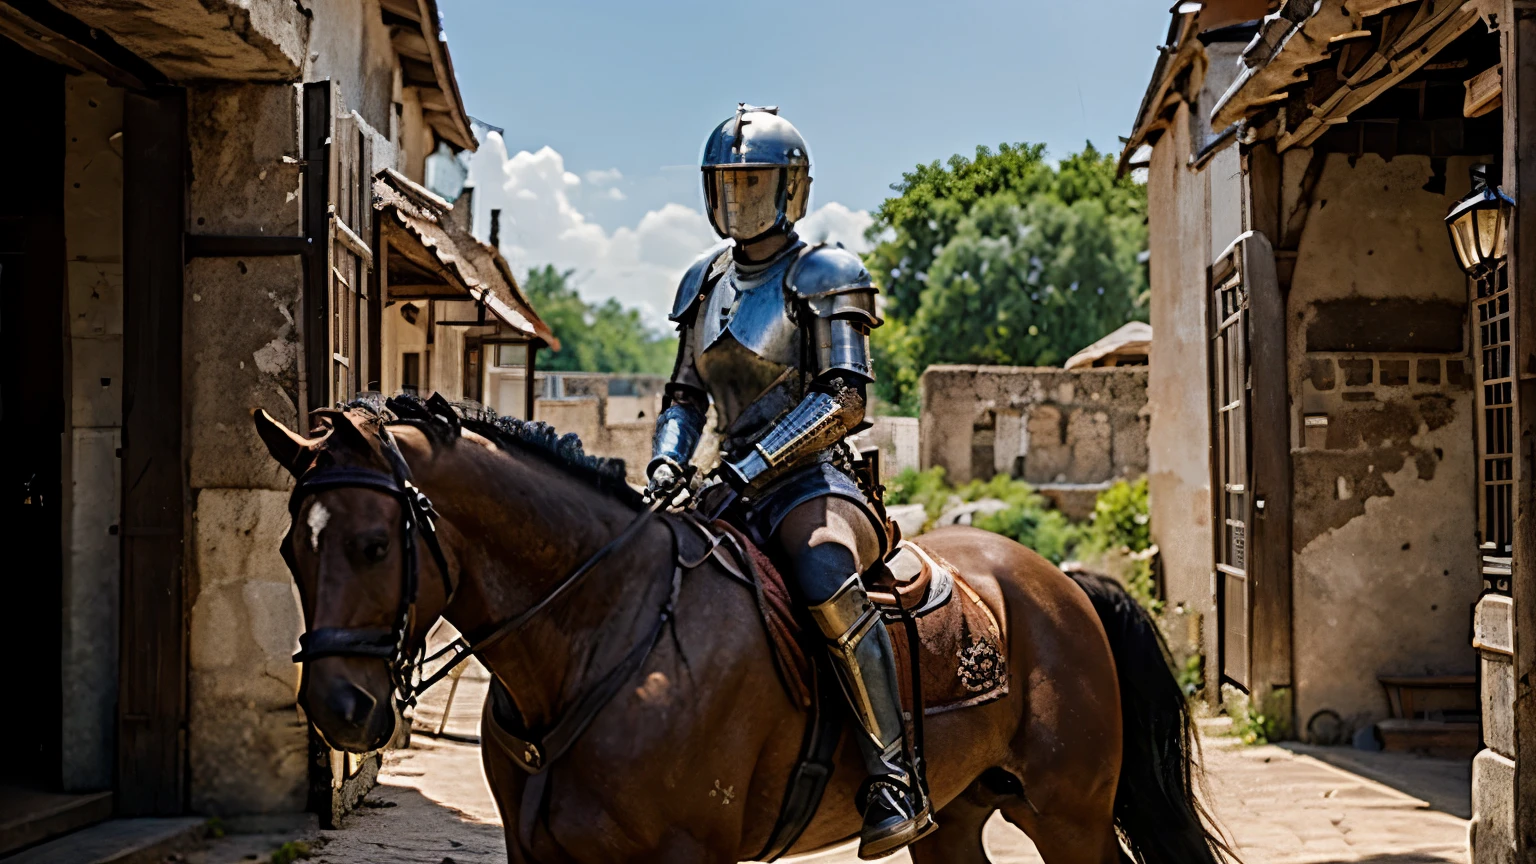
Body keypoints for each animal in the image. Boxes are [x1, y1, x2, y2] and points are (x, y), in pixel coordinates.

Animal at [258, 399, 1228, 860]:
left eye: (374, 544)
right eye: (291, 548)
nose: (338, 708)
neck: (598, 636)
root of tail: (1059, 583)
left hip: (1069, 816)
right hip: (956, 821)